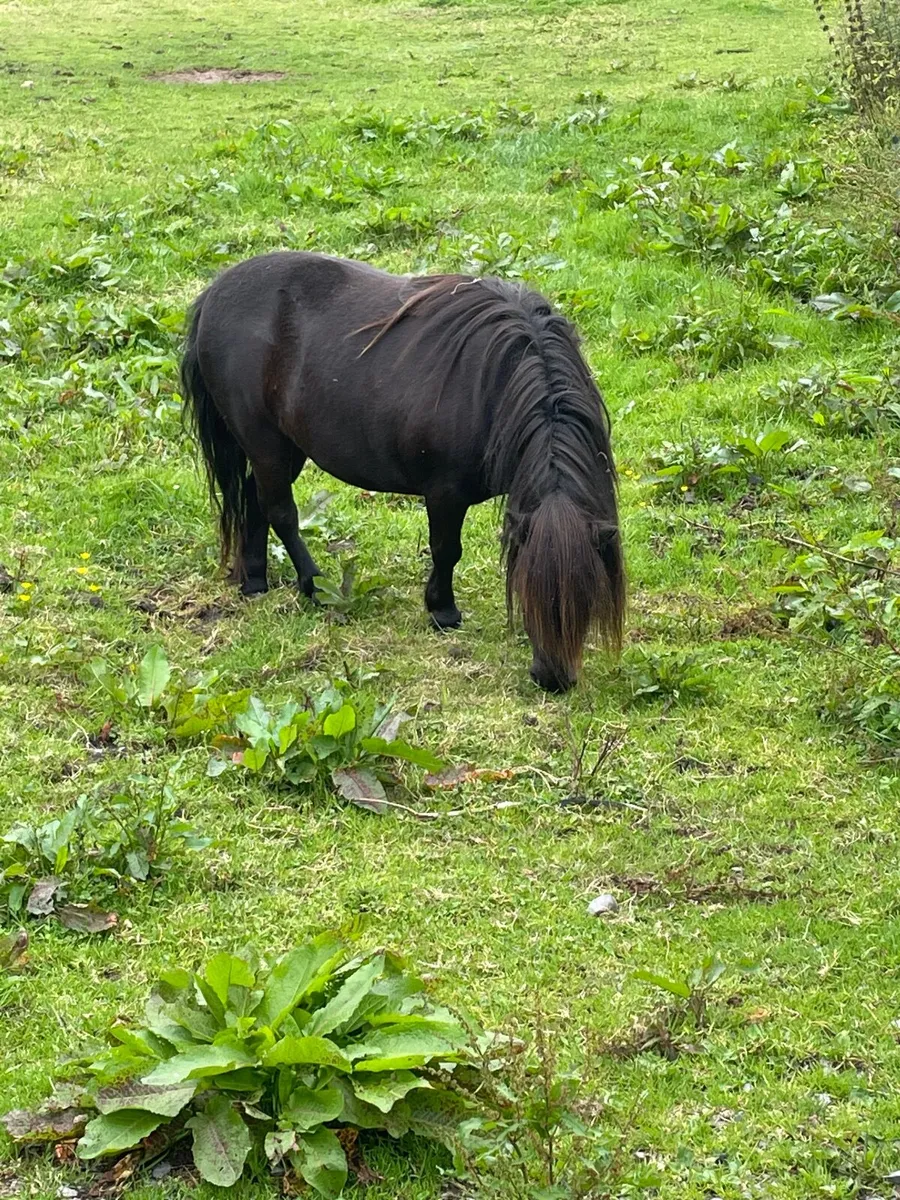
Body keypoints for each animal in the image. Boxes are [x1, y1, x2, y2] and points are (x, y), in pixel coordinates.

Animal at [180, 251, 624, 692]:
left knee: (254, 502)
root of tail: (213, 294)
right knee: (280, 512)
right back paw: (313, 585)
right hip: (265, 443)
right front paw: (443, 611)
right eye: (528, 591)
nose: (553, 679)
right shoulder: (445, 493)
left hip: (285, 450)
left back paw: (255, 582)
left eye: (588, 595)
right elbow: (447, 550)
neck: (493, 386)